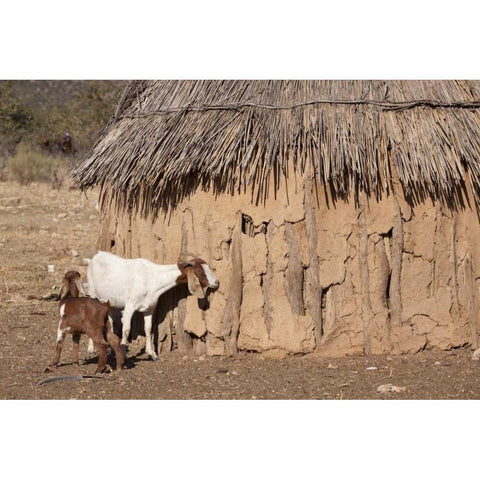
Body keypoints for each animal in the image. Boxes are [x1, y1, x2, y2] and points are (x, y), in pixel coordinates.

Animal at [86, 251, 219, 360]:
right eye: (200, 272)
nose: (216, 282)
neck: (152, 278)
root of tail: (96, 255)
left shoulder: (149, 308)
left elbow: (148, 329)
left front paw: (152, 354)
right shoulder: (130, 306)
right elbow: (126, 329)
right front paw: (123, 354)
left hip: (111, 302)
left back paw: (112, 348)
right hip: (92, 293)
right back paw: (91, 348)